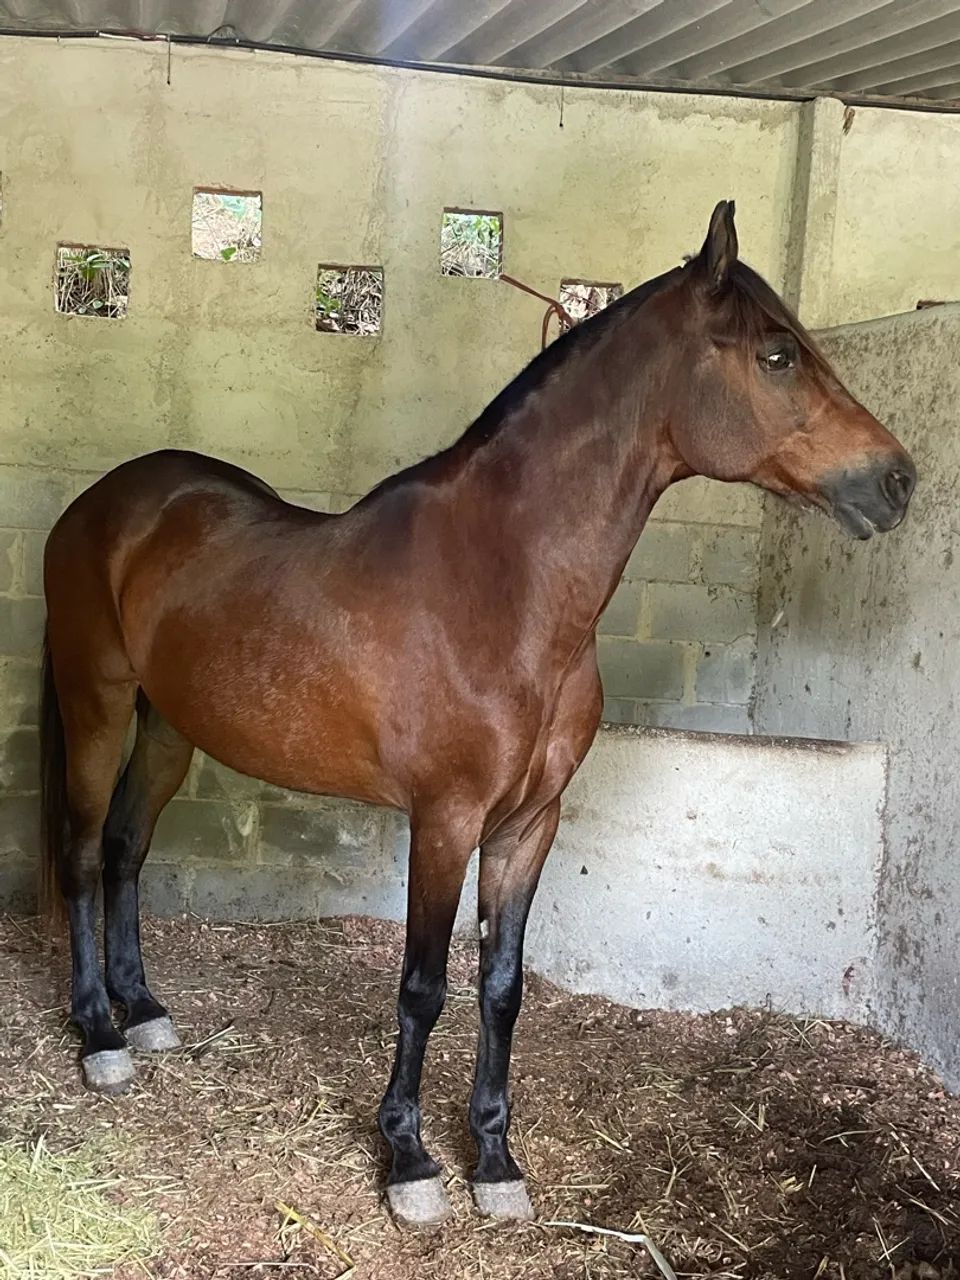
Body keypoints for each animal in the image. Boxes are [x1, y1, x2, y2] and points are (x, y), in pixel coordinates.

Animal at [39, 200, 915, 1228]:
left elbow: (501, 986)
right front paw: (409, 1161)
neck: (507, 587)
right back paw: (99, 1035)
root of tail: (106, 501)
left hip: (171, 727)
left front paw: (495, 1161)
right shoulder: (446, 820)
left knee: (128, 847)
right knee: (84, 854)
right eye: (779, 355)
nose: (898, 481)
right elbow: (424, 986)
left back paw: (144, 1012)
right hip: (97, 706)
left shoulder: (529, 824)